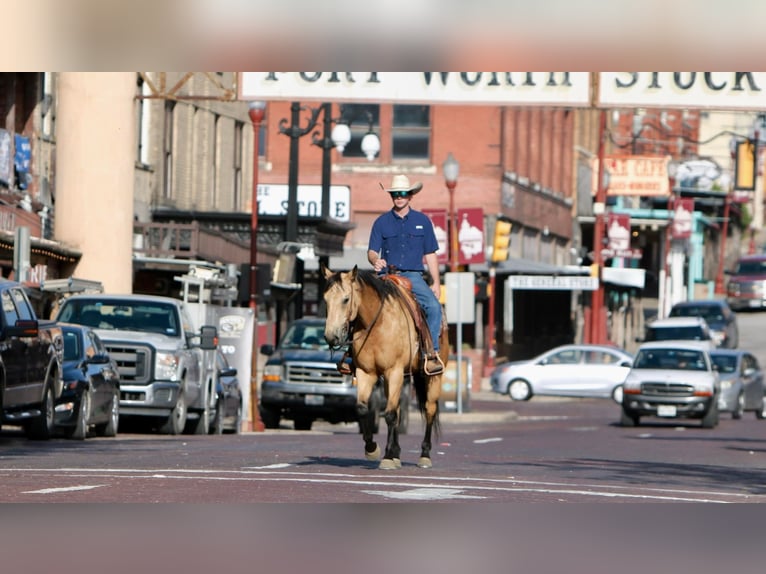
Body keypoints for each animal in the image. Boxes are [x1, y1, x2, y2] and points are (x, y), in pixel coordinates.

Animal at [320, 266, 450, 472]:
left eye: (346, 299)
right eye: (325, 300)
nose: (331, 337)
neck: (377, 324)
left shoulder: (394, 371)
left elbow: (389, 415)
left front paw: (388, 457)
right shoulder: (366, 373)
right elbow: (363, 409)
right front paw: (373, 449)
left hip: (432, 376)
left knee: (429, 409)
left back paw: (424, 455)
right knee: (397, 409)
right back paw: (397, 453)